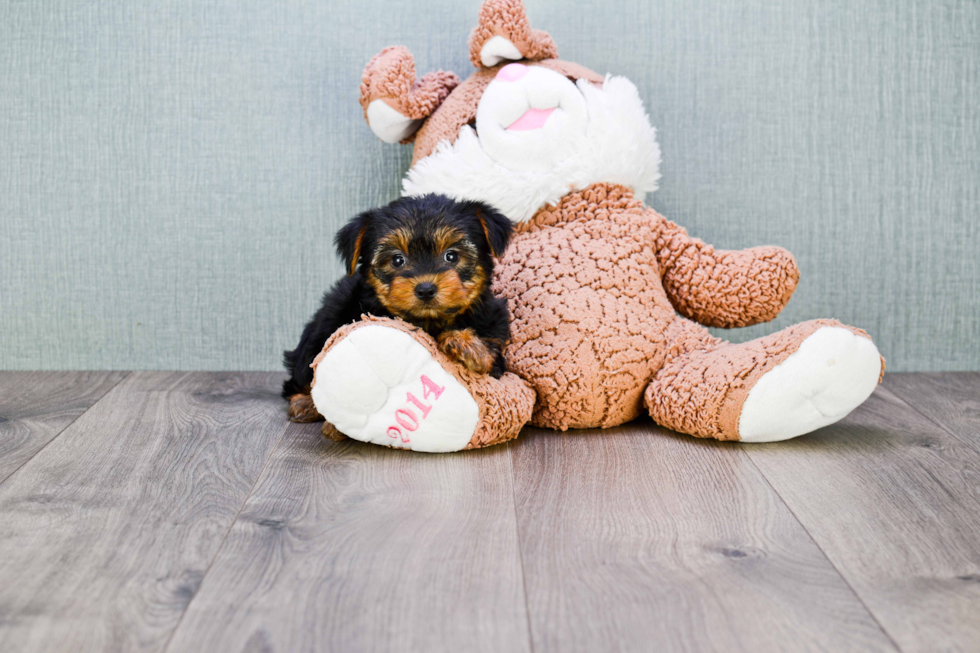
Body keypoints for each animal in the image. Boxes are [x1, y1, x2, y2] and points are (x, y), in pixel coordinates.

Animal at [282, 194, 512, 426]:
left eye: (452, 256)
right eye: (397, 259)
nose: (426, 289)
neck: (430, 321)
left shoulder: (495, 332)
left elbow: (490, 355)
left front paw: (467, 345)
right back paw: (304, 402)